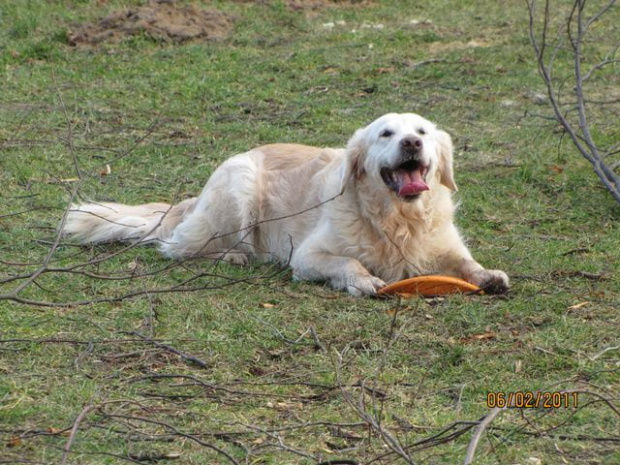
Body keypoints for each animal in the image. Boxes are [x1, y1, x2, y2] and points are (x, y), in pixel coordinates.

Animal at [64, 112, 508, 294]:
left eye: (422, 132)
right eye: (386, 134)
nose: (412, 143)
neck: (397, 220)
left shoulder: (443, 247)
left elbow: (466, 263)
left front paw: (488, 275)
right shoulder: (308, 255)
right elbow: (348, 262)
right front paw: (362, 280)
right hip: (238, 184)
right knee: (177, 248)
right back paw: (232, 256)